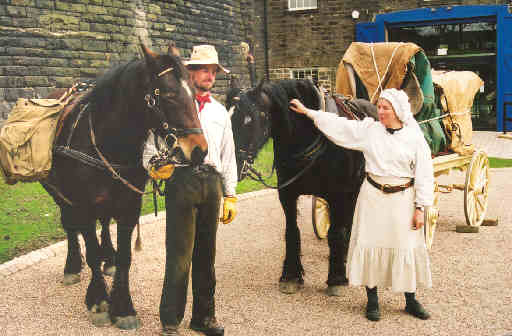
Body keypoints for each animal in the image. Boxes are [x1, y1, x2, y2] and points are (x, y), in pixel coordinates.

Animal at [41, 43, 206, 330]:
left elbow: (125, 257)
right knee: (69, 224)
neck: (107, 140)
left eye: (194, 94)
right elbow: (90, 250)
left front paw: (123, 306)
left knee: (105, 223)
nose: (199, 150)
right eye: (169, 95)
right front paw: (99, 300)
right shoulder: (82, 205)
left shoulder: (129, 205)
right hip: (59, 194)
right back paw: (72, 266)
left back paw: (108, 257)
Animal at [229, 80, 368, 296]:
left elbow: (337, 232)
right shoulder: (287, 194)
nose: (231, 166)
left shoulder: (339, 194)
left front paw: (336, 278)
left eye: (248, 120)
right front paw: (291, 276)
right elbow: (292, 231)